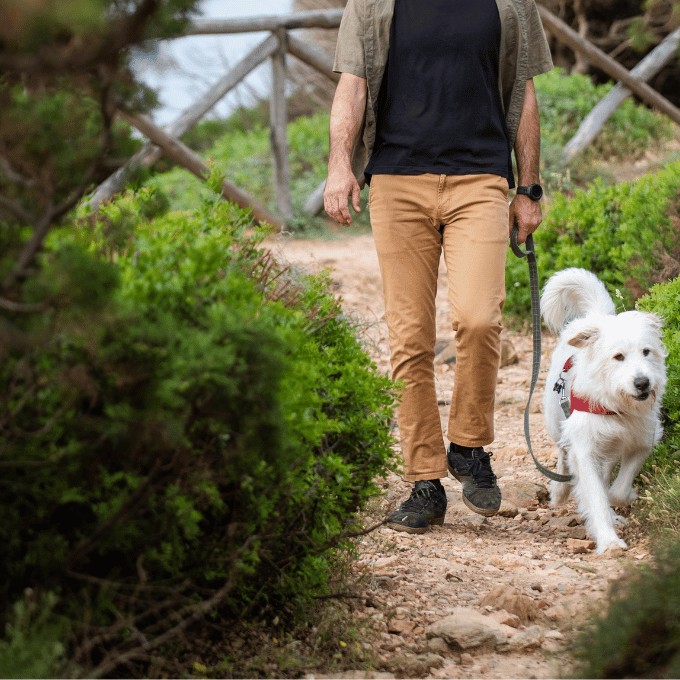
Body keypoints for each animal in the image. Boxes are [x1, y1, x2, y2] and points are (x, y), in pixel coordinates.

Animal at [540, 266, 668, 552]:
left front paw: (624, 499)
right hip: (556, 421)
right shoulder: (586, 450)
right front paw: (609, 541)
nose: (642, 383)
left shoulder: (641, 442)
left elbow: (616, 490)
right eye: (618, 357)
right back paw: (559, 491)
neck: (616, 407)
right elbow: (595, 495)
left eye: (646, 351)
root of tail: (594, 317)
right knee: (562, 451)